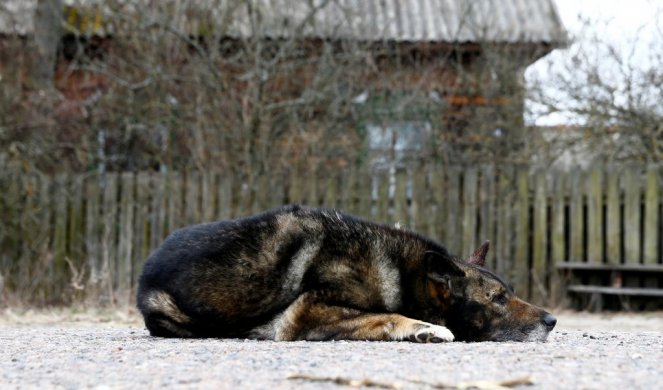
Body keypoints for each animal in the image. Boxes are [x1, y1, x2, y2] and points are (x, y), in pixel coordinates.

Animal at [137, 206, 556, 342]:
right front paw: (425, 328)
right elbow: (386, 315)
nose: (552, 321)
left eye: (510, 293)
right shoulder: (308, 313)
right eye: (498, 299)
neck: (403, 274)